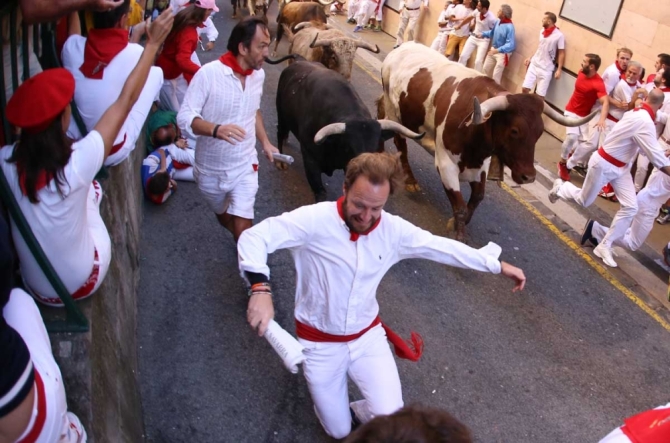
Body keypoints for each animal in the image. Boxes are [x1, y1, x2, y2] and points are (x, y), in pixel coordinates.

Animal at [380, 42, 596, 243]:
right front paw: (459, 234)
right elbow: (459, 206)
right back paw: (410, 180)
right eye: (514, 131)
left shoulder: (480, 167)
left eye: (539, 132)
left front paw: (456, 223)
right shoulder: (445, 163)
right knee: (400, 144)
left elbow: (477, 198)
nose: (528, 177)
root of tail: (403, 47)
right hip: (394, 112)